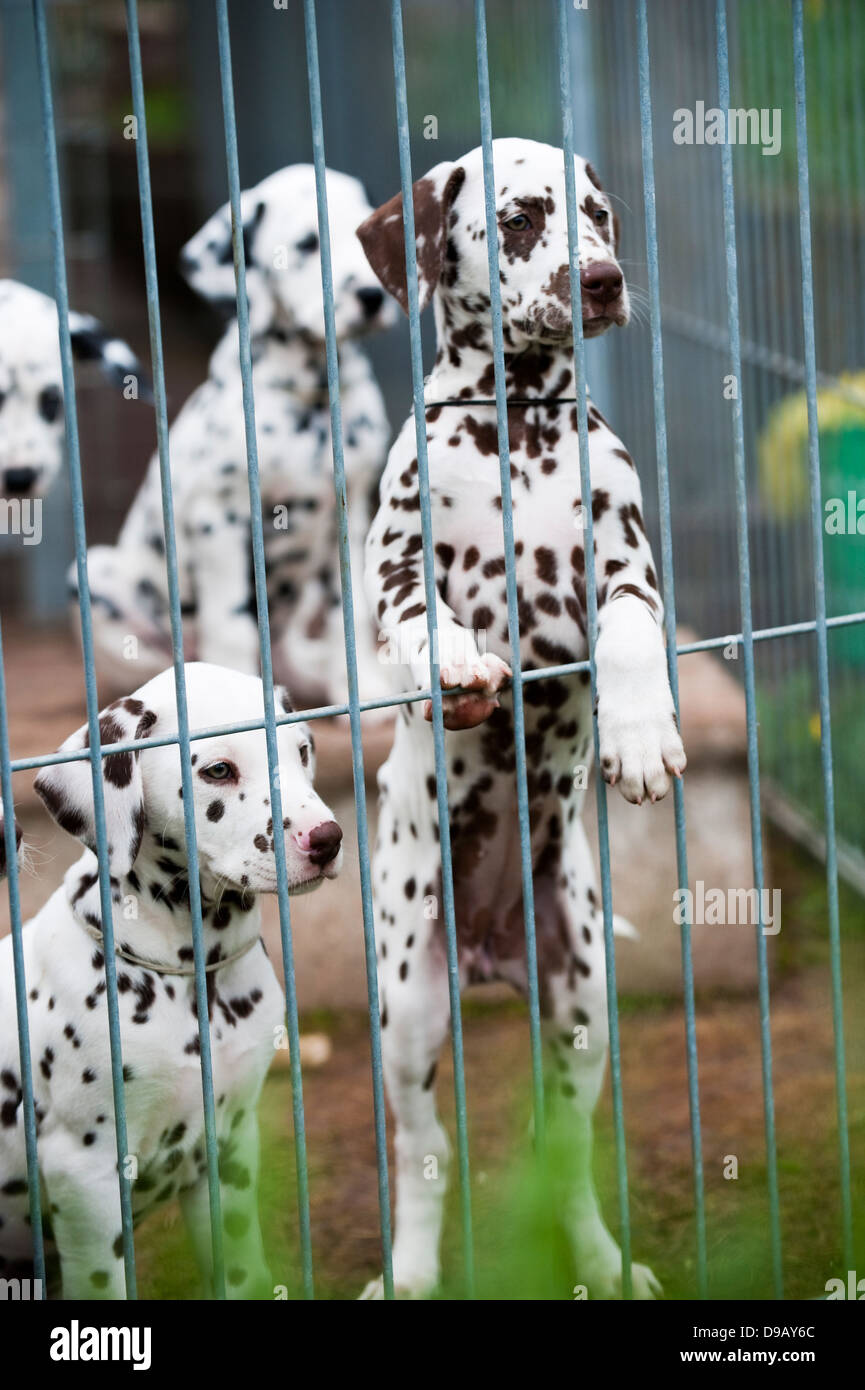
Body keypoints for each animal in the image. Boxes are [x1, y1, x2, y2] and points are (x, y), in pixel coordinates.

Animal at [0, 658, 346, 1289]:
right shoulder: (85, 1183)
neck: (191, 975)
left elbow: (242, 1270)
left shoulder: (229, 1151)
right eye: (218, 769)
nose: (327, 839)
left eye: (302, 751)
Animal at [83, 168, 394, 711]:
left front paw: (364, 690)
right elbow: (232, 622)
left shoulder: (351, 513)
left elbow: (349, 612)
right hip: (98, 579)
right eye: (308, 243)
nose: (371, 296)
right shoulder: (220, 518)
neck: (309, 396)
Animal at [356, 135, 686, 1295]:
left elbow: (628, 632)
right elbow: (423, 621)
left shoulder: (625, 564)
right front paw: (457, 660)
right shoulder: (396, 568)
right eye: (521, 217)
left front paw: (638, 740)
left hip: (580, 1005)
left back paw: (600, 1259)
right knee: (423, 1153)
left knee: (566, 1148)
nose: (605, 280)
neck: (520, 425)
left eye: (600, 214)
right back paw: (409, 1270)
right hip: (409, 1013)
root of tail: (495, 948)